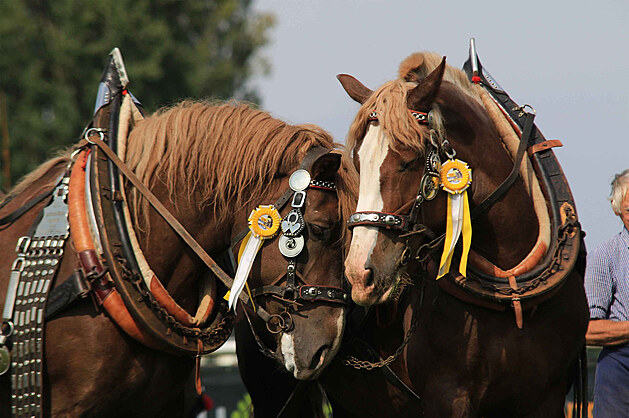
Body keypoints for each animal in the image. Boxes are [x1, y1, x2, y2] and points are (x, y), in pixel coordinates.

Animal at [318, 50, 588, 416]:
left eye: (409, 160)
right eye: (358, 163)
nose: (360, 274)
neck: (512, 293)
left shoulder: (547, 396)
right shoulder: (449, 397)